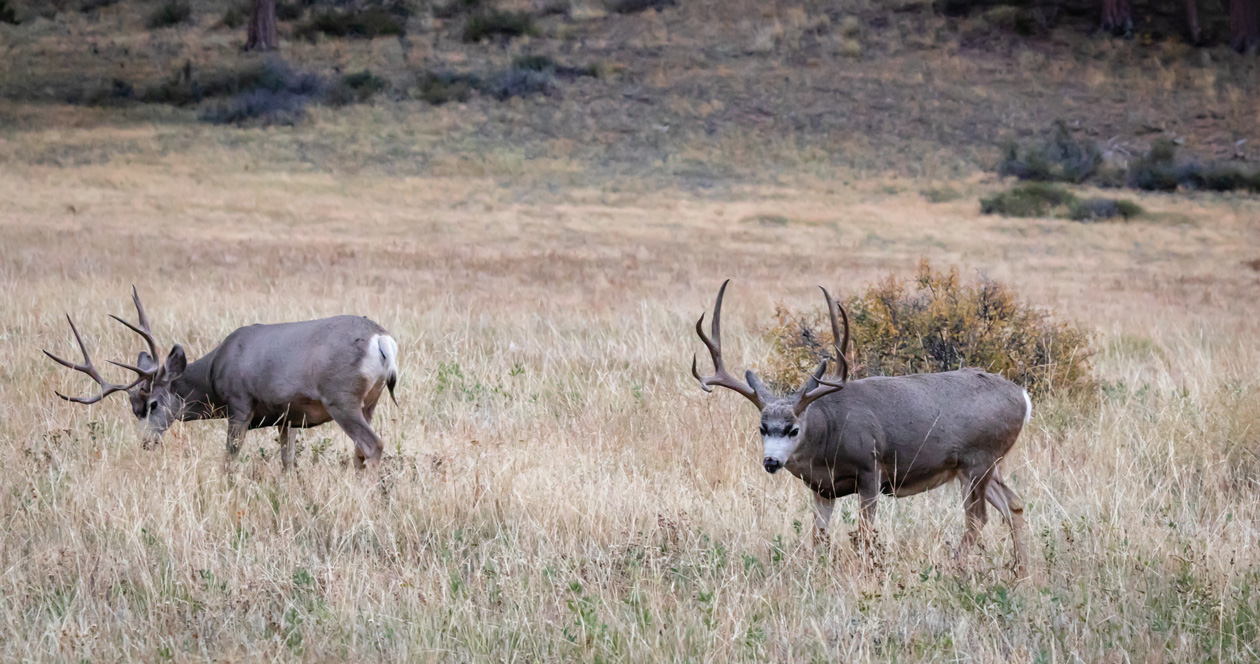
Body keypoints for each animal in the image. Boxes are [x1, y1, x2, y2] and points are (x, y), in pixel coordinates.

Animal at [43, 287, 399, 470]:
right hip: (369, 402)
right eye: (133, 409)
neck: (214, 373)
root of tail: (381, 340)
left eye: (153, 403)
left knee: (373, 444)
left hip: (341, 399)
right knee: (360, 450)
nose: (146, 442)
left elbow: (229, 458)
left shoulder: (240, 405)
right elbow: (287, 461)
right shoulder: (288, 417)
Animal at [692, 280, 1032, 575]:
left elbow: (865, 531)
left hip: (977, 459)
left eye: (793, 429)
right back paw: (1021, 571)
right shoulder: (822, 488)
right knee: (1014, 505)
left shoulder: (872, 470)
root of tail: (1023, 398)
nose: (772, 461)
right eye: (762, 428)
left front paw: (867, 570)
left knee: (978, 518)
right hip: (987, 465)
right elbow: (819, 536)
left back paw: (955, 566)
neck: (828, 436)